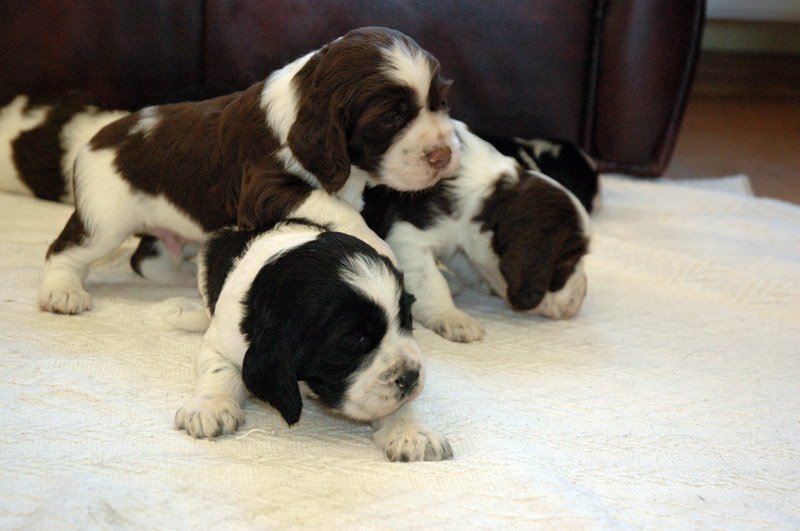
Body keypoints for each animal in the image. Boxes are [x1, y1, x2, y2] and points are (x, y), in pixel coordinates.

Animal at [38, 26, 460, 314]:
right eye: (391, 118)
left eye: (441, 102)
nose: (444, 155)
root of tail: (94, 139)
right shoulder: (262, 189)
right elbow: (336, 209)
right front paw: (379, 246)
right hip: (104, 221)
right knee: (65, 250)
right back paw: (62, 292)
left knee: (147, 260)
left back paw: (185, 277)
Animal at [170, 219, 452, 462]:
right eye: (356, 340)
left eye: (406, 320)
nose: (411, 377)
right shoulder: (221, 339)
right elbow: (219, 368)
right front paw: (209, 407)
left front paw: (413, 433)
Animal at [362, 120, 591, 342]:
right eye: (569, 262)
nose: (583, 296)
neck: (488, 193)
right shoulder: (407, 237)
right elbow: (430, 281)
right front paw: (452, 318)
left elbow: (461, 260)